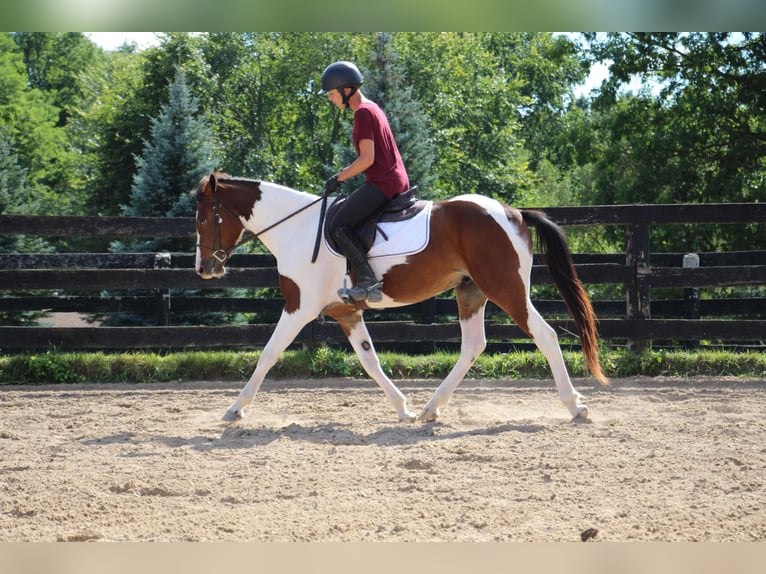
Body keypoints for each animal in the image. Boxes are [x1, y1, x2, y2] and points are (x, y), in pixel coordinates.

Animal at [196, 169, 612, 426]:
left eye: (203, 218)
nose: (204, 268)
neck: (297, 228)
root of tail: (514, 213)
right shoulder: (346, 312)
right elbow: (370, 362)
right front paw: (404, 409)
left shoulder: (299, 307)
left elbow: (268, 354)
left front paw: (234, 410)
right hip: (471, 291)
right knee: (473, 345)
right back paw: (430, 408)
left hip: (506, 288)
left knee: (546, 336)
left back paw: (575, 406)